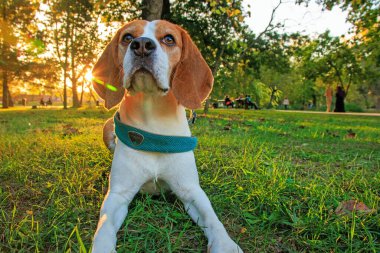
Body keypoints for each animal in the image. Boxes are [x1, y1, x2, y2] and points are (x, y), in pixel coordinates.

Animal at [90, 20, 242, 253]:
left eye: (169, 39)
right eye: (127, 37)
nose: (142, 45)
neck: (153, 125)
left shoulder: (191, 191)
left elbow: (212, 218)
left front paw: (225, 245)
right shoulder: (118, 194)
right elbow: (104, 225)